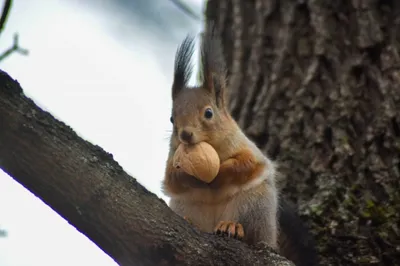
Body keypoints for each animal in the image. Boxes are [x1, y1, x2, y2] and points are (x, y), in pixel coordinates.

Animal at [161, 23, 318, 264]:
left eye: (209, 113)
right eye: (171, 118)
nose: (185, 135)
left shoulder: (247, 148)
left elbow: (246, 163)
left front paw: (220, 173)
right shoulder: (171, 157)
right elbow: (172, 179)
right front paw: (187, 173)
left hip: (254, 205)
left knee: (250, 233)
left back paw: (232, 227)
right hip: (183, 205)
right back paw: (191, 221)